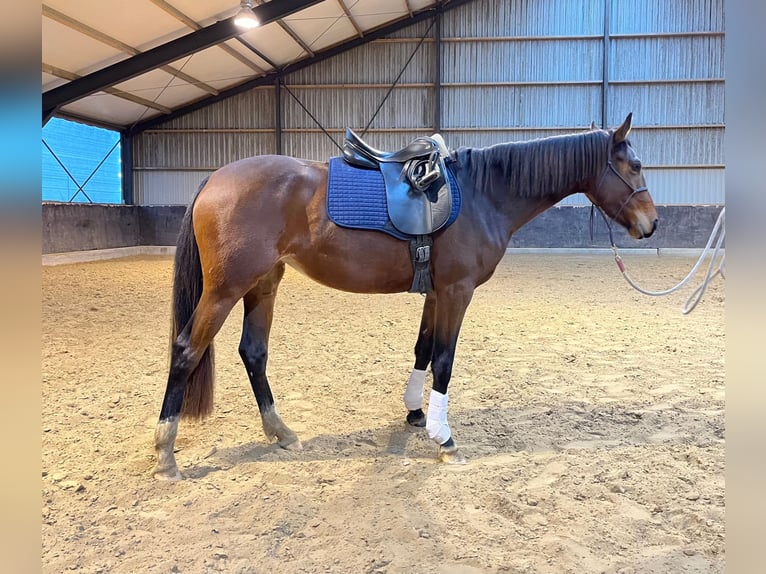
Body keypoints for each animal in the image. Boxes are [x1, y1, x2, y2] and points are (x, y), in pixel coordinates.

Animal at [154, 112, 660, 482]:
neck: (484, 194)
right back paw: (165, 454)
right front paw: (444, 438)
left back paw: (280, 432)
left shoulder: (436, 292)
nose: (651, 224)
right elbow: (445, 361)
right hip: (226, 289)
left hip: (263, 283)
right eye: (635, 166)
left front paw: (416, 414)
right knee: (186, 351)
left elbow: (423, 349)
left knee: (253, 353)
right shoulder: (457, 292)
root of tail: (214, 179)